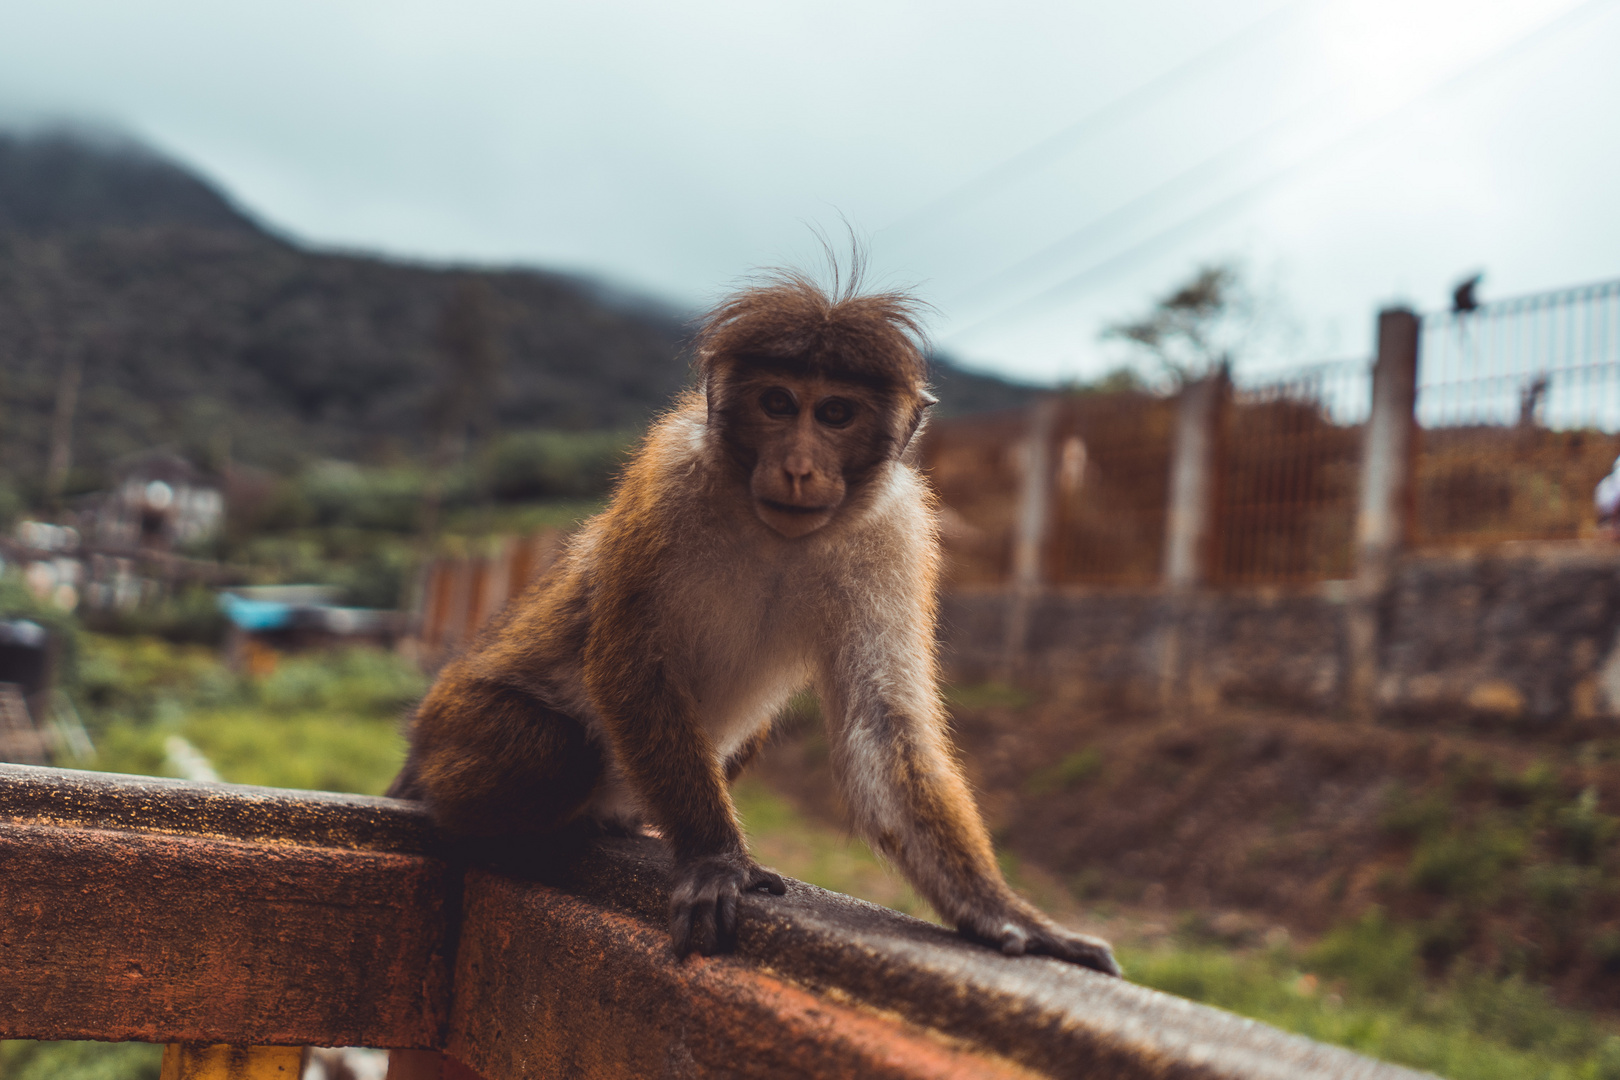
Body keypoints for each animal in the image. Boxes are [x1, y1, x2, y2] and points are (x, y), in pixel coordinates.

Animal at [390, 265, 1121, 977]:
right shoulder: (669, 476)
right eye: (777, 403)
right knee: (551, 751)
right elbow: (628, 664)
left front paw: (1000, 911)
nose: (798, 467)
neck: (775, 536)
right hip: (454, 726)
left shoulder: (896, 530)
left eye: (835, 413)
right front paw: (716, 857)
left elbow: (884, 720)